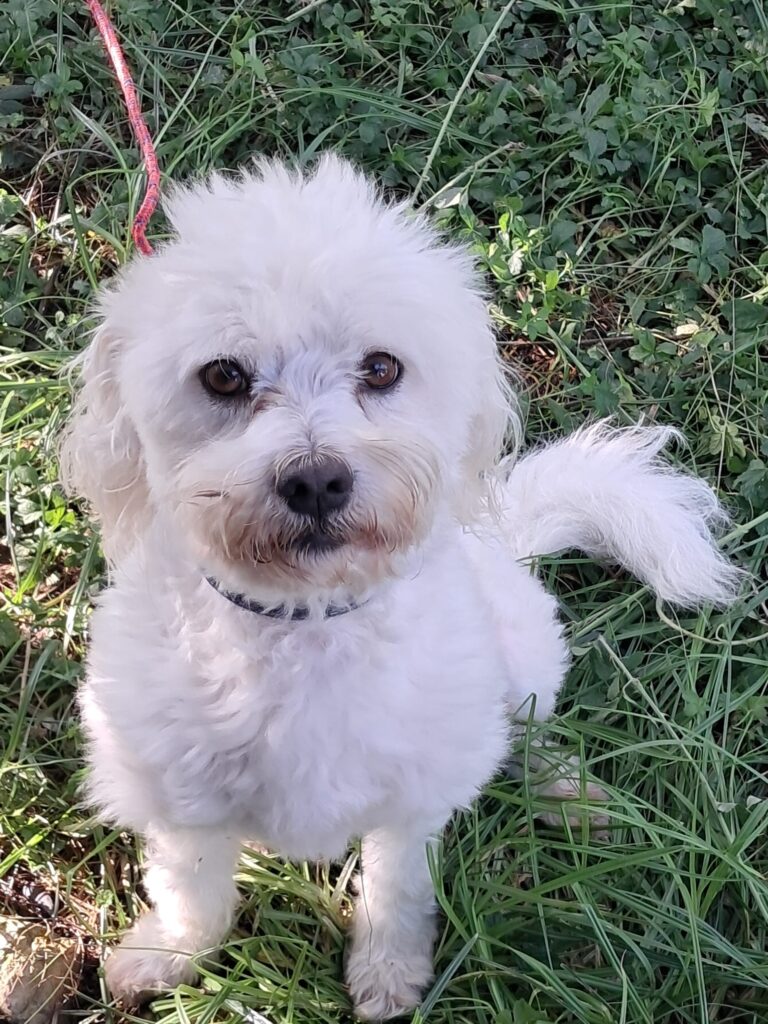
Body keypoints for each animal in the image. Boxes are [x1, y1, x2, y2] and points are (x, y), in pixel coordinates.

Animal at [61, 155, 740, 1020]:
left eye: (382, 368)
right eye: (223, 376)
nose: (315, 480)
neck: (305, 625)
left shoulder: (413, 795)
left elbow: (397, 887)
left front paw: (388, 971)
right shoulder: (179, 795)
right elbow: (193, 892)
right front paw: (168, 955)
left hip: (520, 655)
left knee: (528, 727)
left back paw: (569, 792)